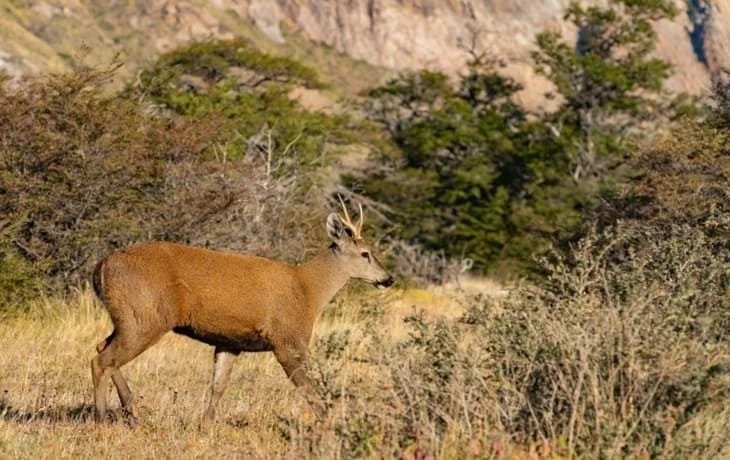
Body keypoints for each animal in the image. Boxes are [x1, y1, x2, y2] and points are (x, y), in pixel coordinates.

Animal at [90, 199, 394, 425]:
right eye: (365, 253)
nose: (388, 278)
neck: (307, 290)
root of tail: (101, 267)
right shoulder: (287, 340)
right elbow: (309, 389)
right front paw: (332, 424)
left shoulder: (229, 342)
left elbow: (218, 385)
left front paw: (205, 424)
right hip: (146, 317)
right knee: (103, 360)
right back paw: (102, 418)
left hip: (128, 317)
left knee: (101, 347)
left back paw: (131, 412)